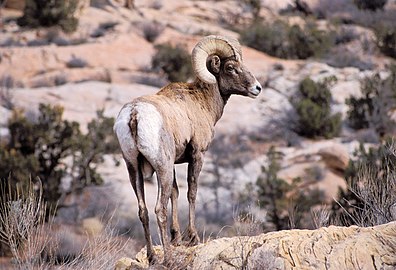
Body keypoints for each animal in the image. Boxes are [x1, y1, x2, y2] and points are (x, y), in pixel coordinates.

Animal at [113, 35, 262, 264]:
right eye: (230, 67)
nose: (257, 88)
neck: (200, 102)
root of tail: (135, 114)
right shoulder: (197, 155)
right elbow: (191, 192)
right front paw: (193, 238)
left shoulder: (174, 163)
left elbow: (175, 193)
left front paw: (177, 238)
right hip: (162, 168)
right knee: (159, 210)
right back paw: (167, 259)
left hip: (134, 169)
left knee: (143, 210)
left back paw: (152, 257)